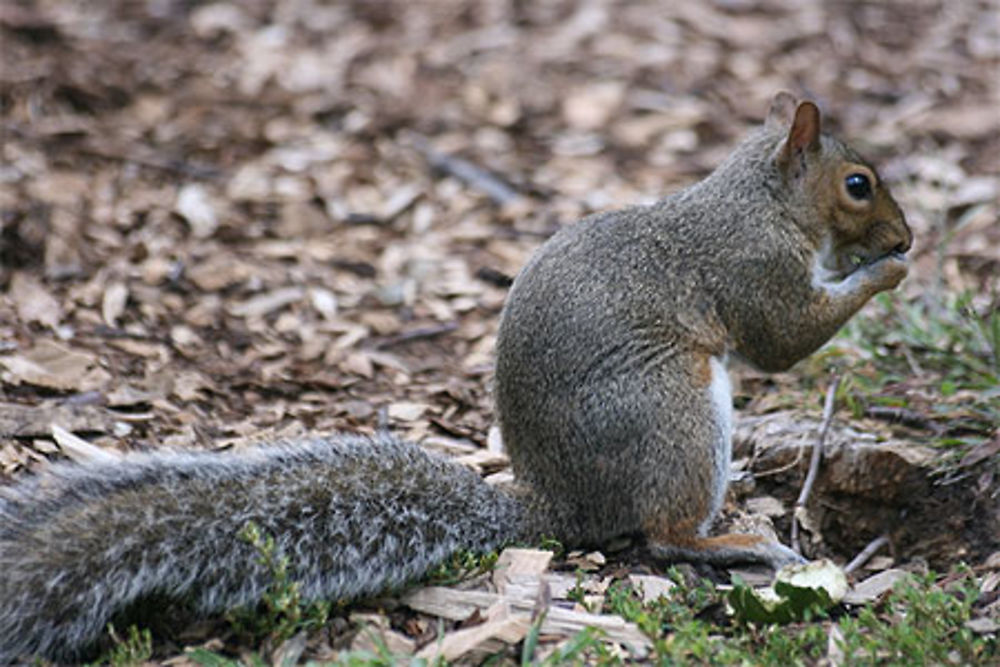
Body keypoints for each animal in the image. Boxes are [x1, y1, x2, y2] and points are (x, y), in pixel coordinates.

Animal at [0, 91, 912, 660]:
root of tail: (561, 510)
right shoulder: (752, 271)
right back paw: (737, 540)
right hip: (677, 409)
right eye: (858, 184)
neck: (760, 201)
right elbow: (787, 339)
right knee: (661, 532)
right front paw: (889, 274)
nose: (904, 234)